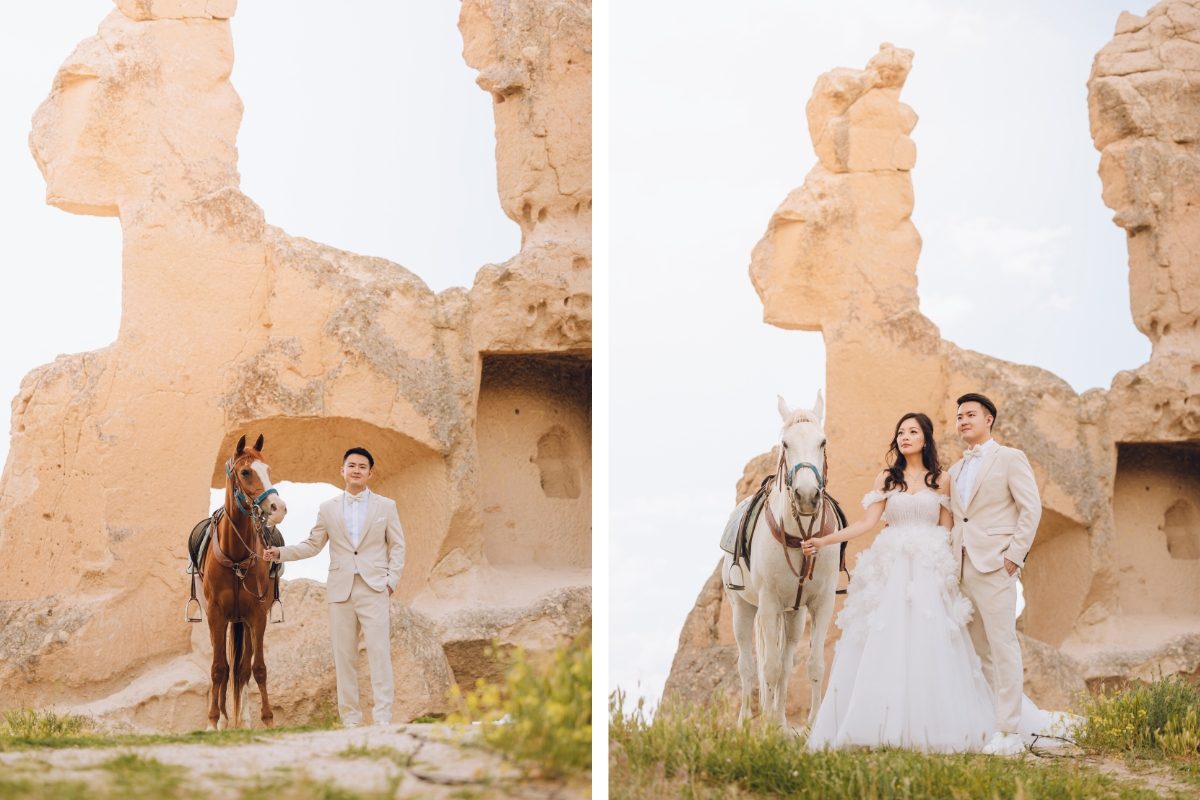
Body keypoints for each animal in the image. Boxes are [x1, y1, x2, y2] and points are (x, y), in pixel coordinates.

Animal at [201, 434, 288, 729]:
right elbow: (218, 669)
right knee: (227, 668)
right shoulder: (216, 615)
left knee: (242, 670)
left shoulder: (257, 616)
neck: (236, 557)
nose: (278, 508)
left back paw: (245, 720)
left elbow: (257, 669)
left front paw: (268, 720)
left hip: (244, 623)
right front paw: (212, 722)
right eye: (246, 472)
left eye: (268, 470)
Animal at [720, 391, 844, 734]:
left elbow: (814, 665)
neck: (801, 537)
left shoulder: (821, 603)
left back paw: (779, 721)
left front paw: (812, 726)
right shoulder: (769, 603)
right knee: (749, 668)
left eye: (823, 441)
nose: (807, 496)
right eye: (785, 444)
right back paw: (746, 723)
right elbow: (769, 669)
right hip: (744, 610)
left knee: (787, 666)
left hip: (794, 616)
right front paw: (765, 730)